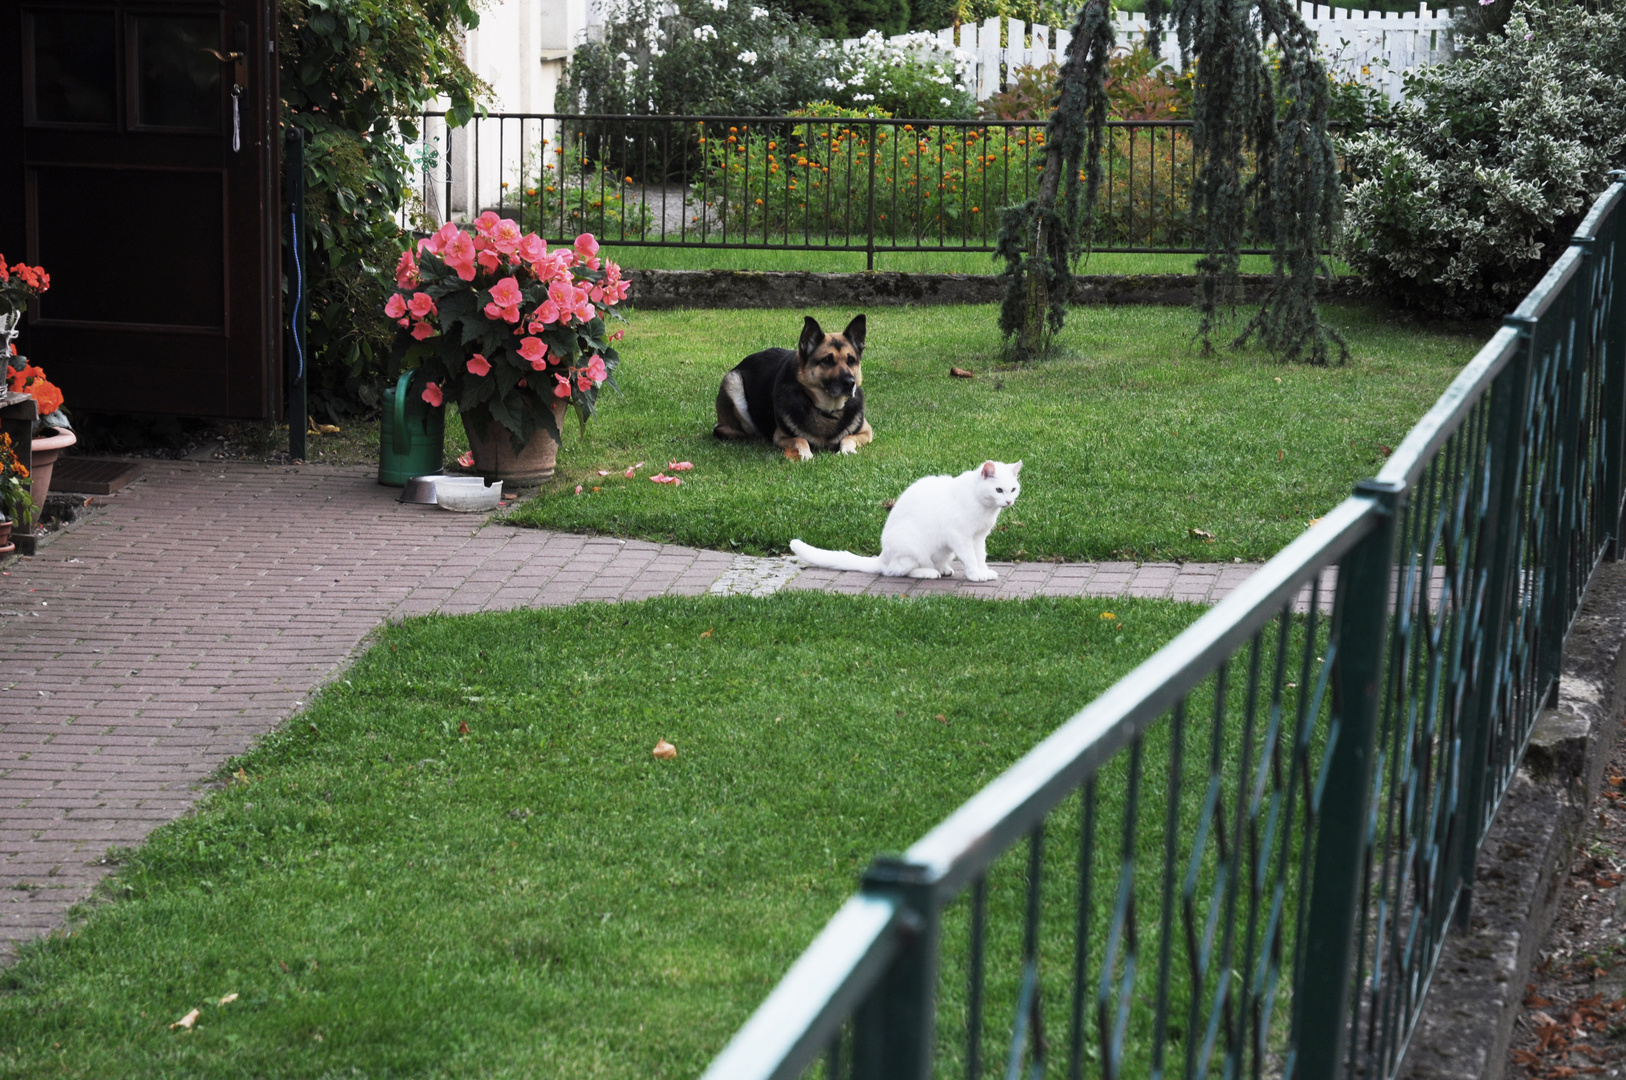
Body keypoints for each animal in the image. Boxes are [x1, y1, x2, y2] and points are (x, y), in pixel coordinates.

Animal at [708, 317, 871, 458]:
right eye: (827, 360)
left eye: (851, 360)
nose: (850, 383)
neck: (827, 411)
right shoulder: (781, 437)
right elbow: (800, 439)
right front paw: (805, 454)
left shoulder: (867, 432)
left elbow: (848, 437)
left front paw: (847, 450)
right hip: (733, 382)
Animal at [793, 461, 1021, 585]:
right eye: (998, 490)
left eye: (1013, 489)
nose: (1009, 501)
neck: (983, 506)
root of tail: (883, 556)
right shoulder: (960, 536)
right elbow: (970, 558)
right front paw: (975, 575)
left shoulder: (979, 537)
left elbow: (980, 556)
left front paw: (984, 572)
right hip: (911, 546)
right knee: (897, 571)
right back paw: (929, 572)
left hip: (944, 550)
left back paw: (942, 568)